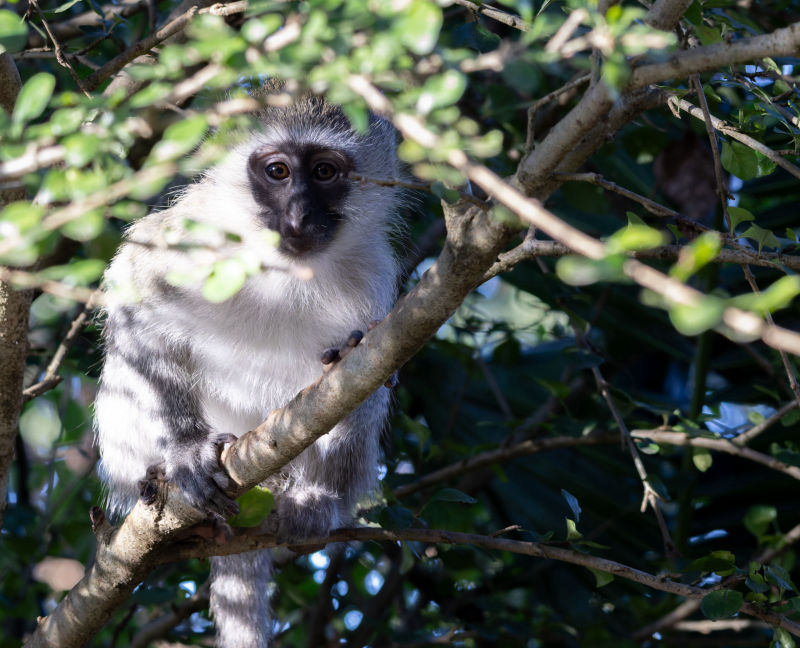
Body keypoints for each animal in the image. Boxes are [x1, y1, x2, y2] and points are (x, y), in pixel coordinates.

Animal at [93, 89, 404, 648]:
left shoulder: (374, 275)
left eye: (324, 171)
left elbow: (372, 369)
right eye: (277, 171)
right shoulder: (189, 236)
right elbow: (137, 293)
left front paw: (348, 355)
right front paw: (186, 450)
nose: (299, 216)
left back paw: (314, 497)